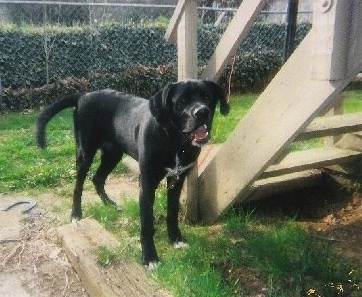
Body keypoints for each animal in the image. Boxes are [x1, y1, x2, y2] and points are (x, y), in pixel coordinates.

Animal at [36, 79, 229, 268]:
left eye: (207, 97)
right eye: (182, 100)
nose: (202, 112)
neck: (174, 141)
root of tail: (84, 95)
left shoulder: (178, 179)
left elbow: (172, 212)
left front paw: (176, 239)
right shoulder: (147, 183)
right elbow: (146, 222)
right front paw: (150, 257)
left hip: (113, 154)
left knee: (97, 178)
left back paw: (110, 204)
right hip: (85, 153)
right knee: (78, 185)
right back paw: (76, 214)